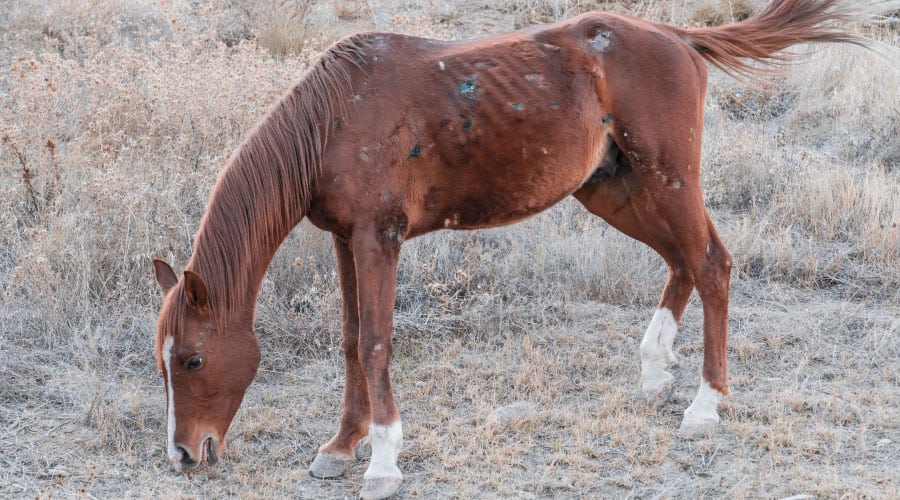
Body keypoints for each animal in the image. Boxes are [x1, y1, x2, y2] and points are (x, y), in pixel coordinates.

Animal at [151, 1, 860, 498]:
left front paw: (382, 462)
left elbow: (376, 343)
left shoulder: (378, 239)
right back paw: (656, 369)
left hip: (667, 176)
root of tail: (677, 37)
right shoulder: (345, 240)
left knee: (712, 265)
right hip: (615, 189)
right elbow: (352, 339)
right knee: (684, 260)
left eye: (191, 360)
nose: (185, 454)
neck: (331, 119)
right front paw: (341, 446)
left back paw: (706, 405)